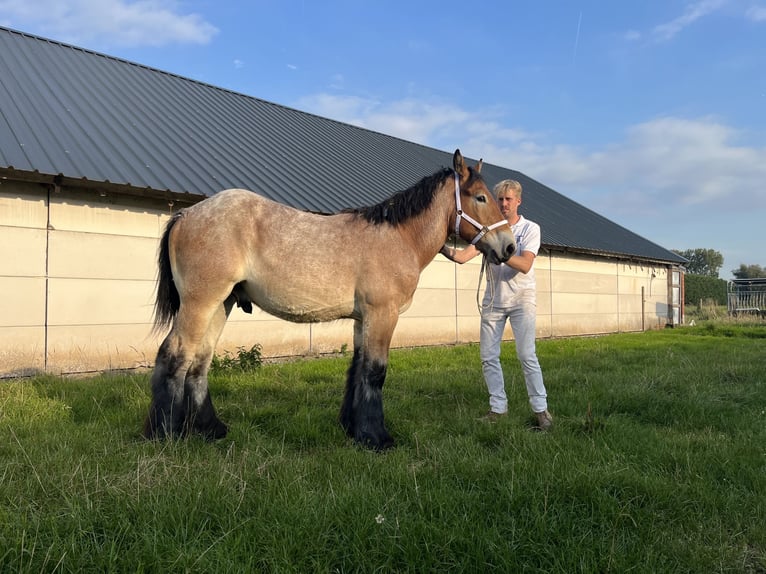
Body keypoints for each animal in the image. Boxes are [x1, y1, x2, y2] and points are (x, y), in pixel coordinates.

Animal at [144, 151, 516, 452]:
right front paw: (377, 438)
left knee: (199, 362)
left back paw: (210, 430)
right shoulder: (383, 314)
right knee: (174, 355)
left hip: (221, 305)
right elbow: (375, 372)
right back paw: (164, 434)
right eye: (480, 197)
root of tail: (186, 215)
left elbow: (357, 369)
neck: (397, 237)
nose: (510, 247)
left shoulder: (363, 319)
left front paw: (354, 429)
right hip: (201, 304)